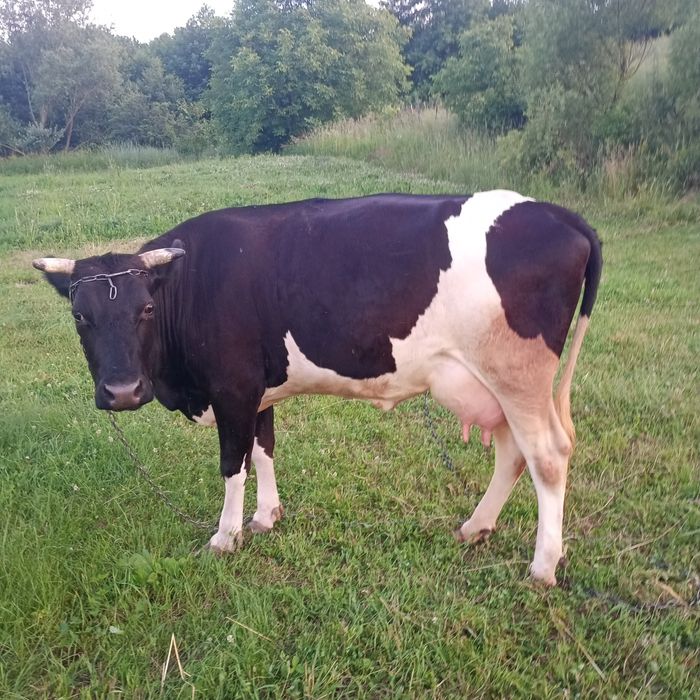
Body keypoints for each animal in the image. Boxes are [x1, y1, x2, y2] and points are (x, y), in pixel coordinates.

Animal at [33, 191, 602, 586]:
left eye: (146, 309)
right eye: (80, 316)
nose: (123, 391)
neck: (191, 282)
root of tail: (558, 214)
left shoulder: (233, 387)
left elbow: (233, 463)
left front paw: (225, 536)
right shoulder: (258, 389)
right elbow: (263, 449)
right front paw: (266, 516)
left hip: (518, 376)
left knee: (547, 455)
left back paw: (543, 565)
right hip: (491, 385)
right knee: (512, 452)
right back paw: (475, 526)